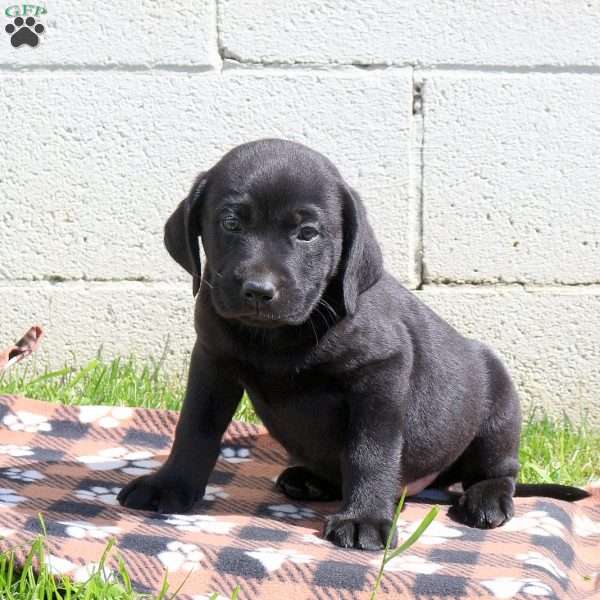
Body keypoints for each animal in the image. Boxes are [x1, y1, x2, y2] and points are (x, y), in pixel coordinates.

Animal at [118, 138, 592, 552]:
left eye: (308, 233)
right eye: (231, 223)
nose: (258, 290)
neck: (280, 335)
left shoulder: (380, 376)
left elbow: (370, 451)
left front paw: (364, 518)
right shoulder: (212, 362)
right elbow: (194, 428)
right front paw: (170, 485)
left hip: (500, 406)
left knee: (499, 470)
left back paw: (486, 499)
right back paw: (312, 480)